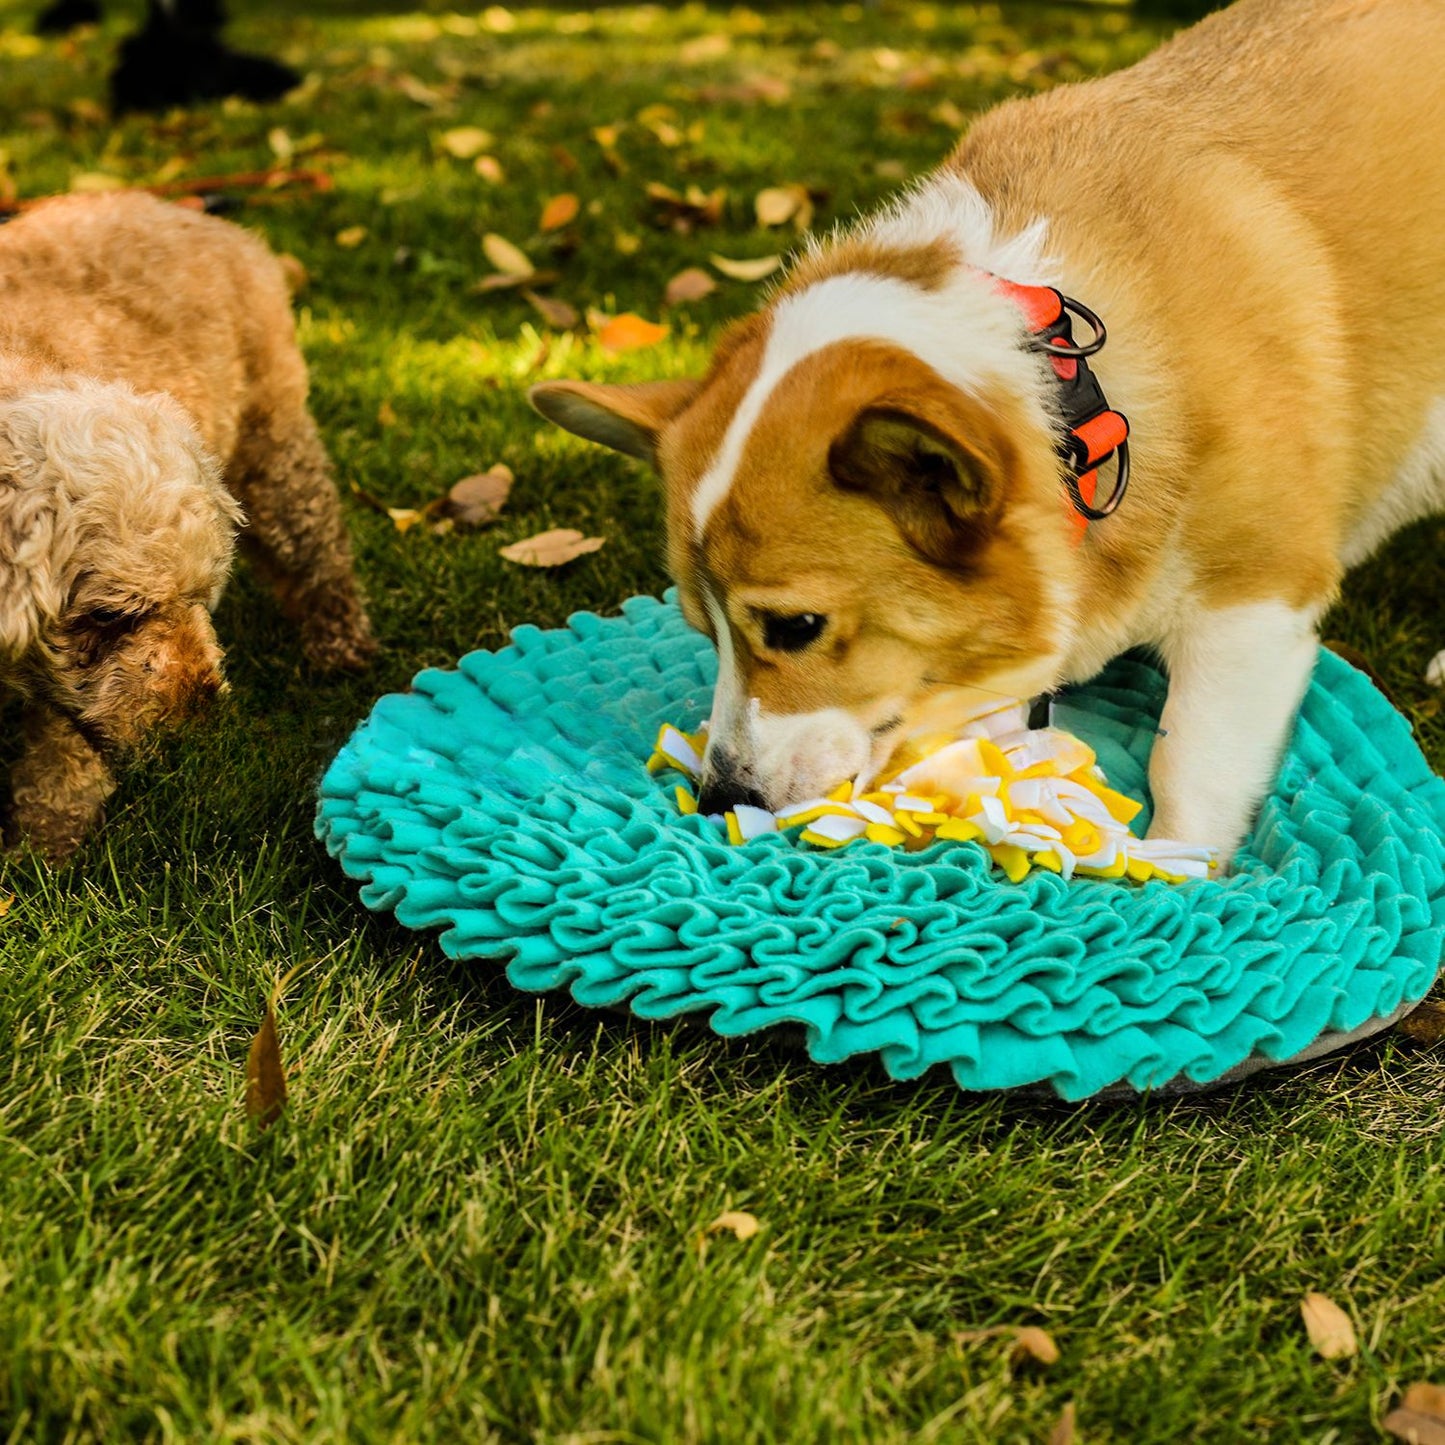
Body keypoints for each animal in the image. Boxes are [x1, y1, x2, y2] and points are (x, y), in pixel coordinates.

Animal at [1, 192, 372, 855]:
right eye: (109, 615)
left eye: (203, 596)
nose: (197, 719)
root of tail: (190, 213)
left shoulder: (65, 698)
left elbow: (62, 764)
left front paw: (42, 857)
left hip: (273, 441)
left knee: (315, 539)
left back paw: (339, 641)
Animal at [537, 0, 1445, 855]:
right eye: (703, 628)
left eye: (796, 628)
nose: (720, 799)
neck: (1068, 387)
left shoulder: (1251, 603)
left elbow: (1185, 761)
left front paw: (1170, 875)